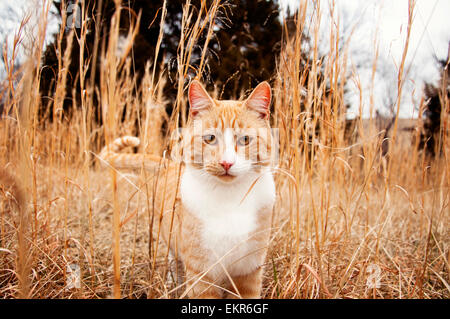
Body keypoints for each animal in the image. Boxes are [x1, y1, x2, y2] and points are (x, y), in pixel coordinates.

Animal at [100, 80, 276, 300]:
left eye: (244, 140)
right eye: (210, 138)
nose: (226, 163)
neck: (230, 198)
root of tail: (170, 165)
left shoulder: (249, 270)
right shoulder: (202, 273)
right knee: (174, 261)